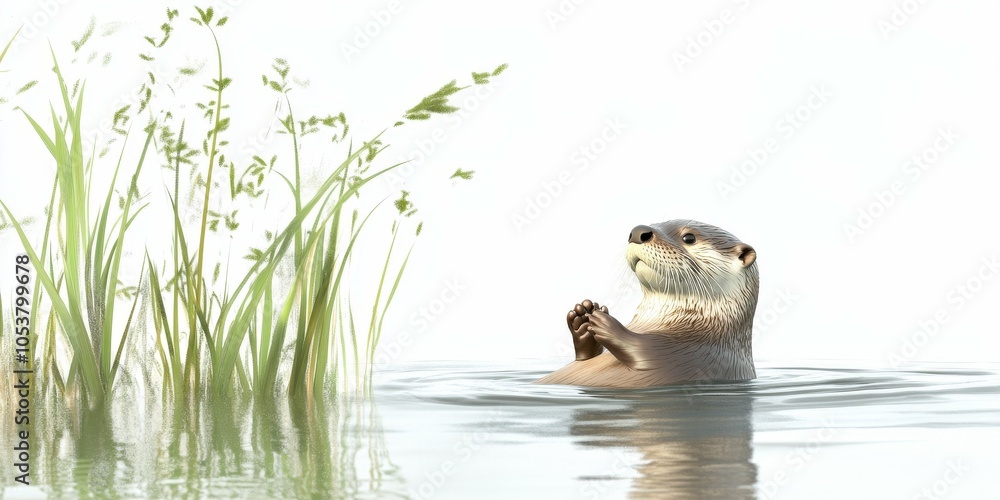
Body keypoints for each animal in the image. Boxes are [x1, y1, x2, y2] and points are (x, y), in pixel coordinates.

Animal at [535, 219, 759, 388]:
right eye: (655, 224)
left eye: (689, 238)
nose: (638, 232)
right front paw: (582, 318)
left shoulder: (692, 355)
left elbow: (646, 351)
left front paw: (607, 324)